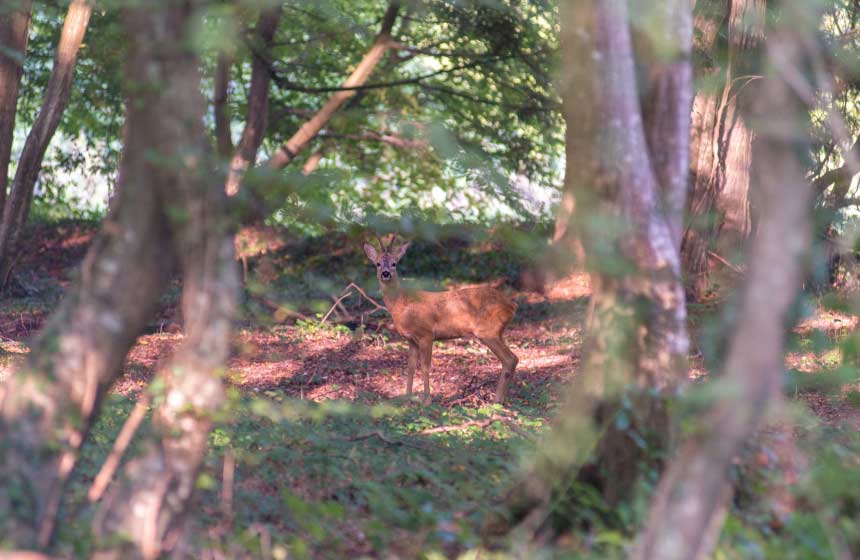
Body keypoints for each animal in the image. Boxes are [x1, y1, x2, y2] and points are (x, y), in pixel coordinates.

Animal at [362, 235, 516, 402]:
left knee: (509, 359)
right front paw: (407, 396)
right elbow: (410, 367)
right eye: (377, 264)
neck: (402, 304)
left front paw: (427, 401)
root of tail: (512, 305)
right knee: (513, 358)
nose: (385, 273)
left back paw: (496, 401)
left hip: (487, 331)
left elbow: (425, 367)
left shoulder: (426, 334)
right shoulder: (411, 339)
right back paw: (501, 400)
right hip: (498, 332)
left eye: (394, 263)